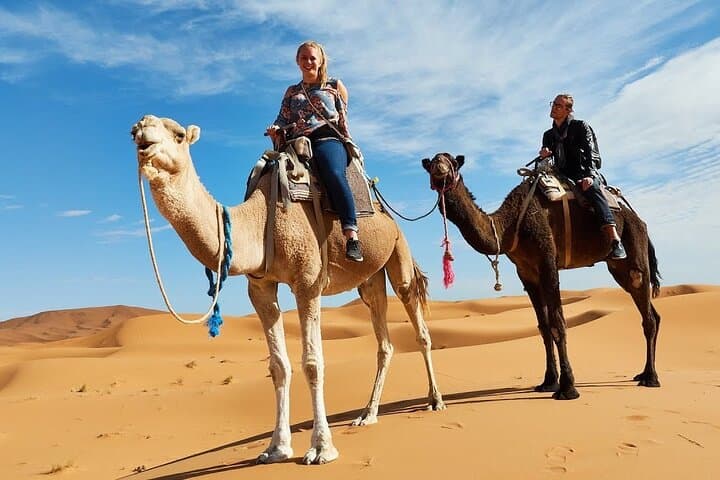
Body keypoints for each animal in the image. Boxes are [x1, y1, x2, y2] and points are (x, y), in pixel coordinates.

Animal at [130, 115, 445, 465]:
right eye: (133, 132)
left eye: (179, 135)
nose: (142, 129)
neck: (259, 221)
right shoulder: (261, 288)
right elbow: (278, 366)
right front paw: (276, 448)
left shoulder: (307, 281)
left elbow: (312, 363)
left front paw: (321, 448)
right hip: (370, 280)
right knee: (384, 341)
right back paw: (368, 414)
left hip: (398, 250)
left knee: (416, 321)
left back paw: (435, 400)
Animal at [422, 153, 661, 400]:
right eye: (431, 162)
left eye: (452, 161)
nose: (439, 167)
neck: (510, 226)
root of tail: (639, 220)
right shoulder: (527, 273)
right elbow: (544, 327)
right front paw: (548, 381)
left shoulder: (547, 262)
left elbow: (558, 323)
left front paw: (567, 388)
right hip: (617, 268)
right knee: (651, 311)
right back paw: (643, 373)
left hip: (634, 248)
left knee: (646, 307)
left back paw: (651, 378)